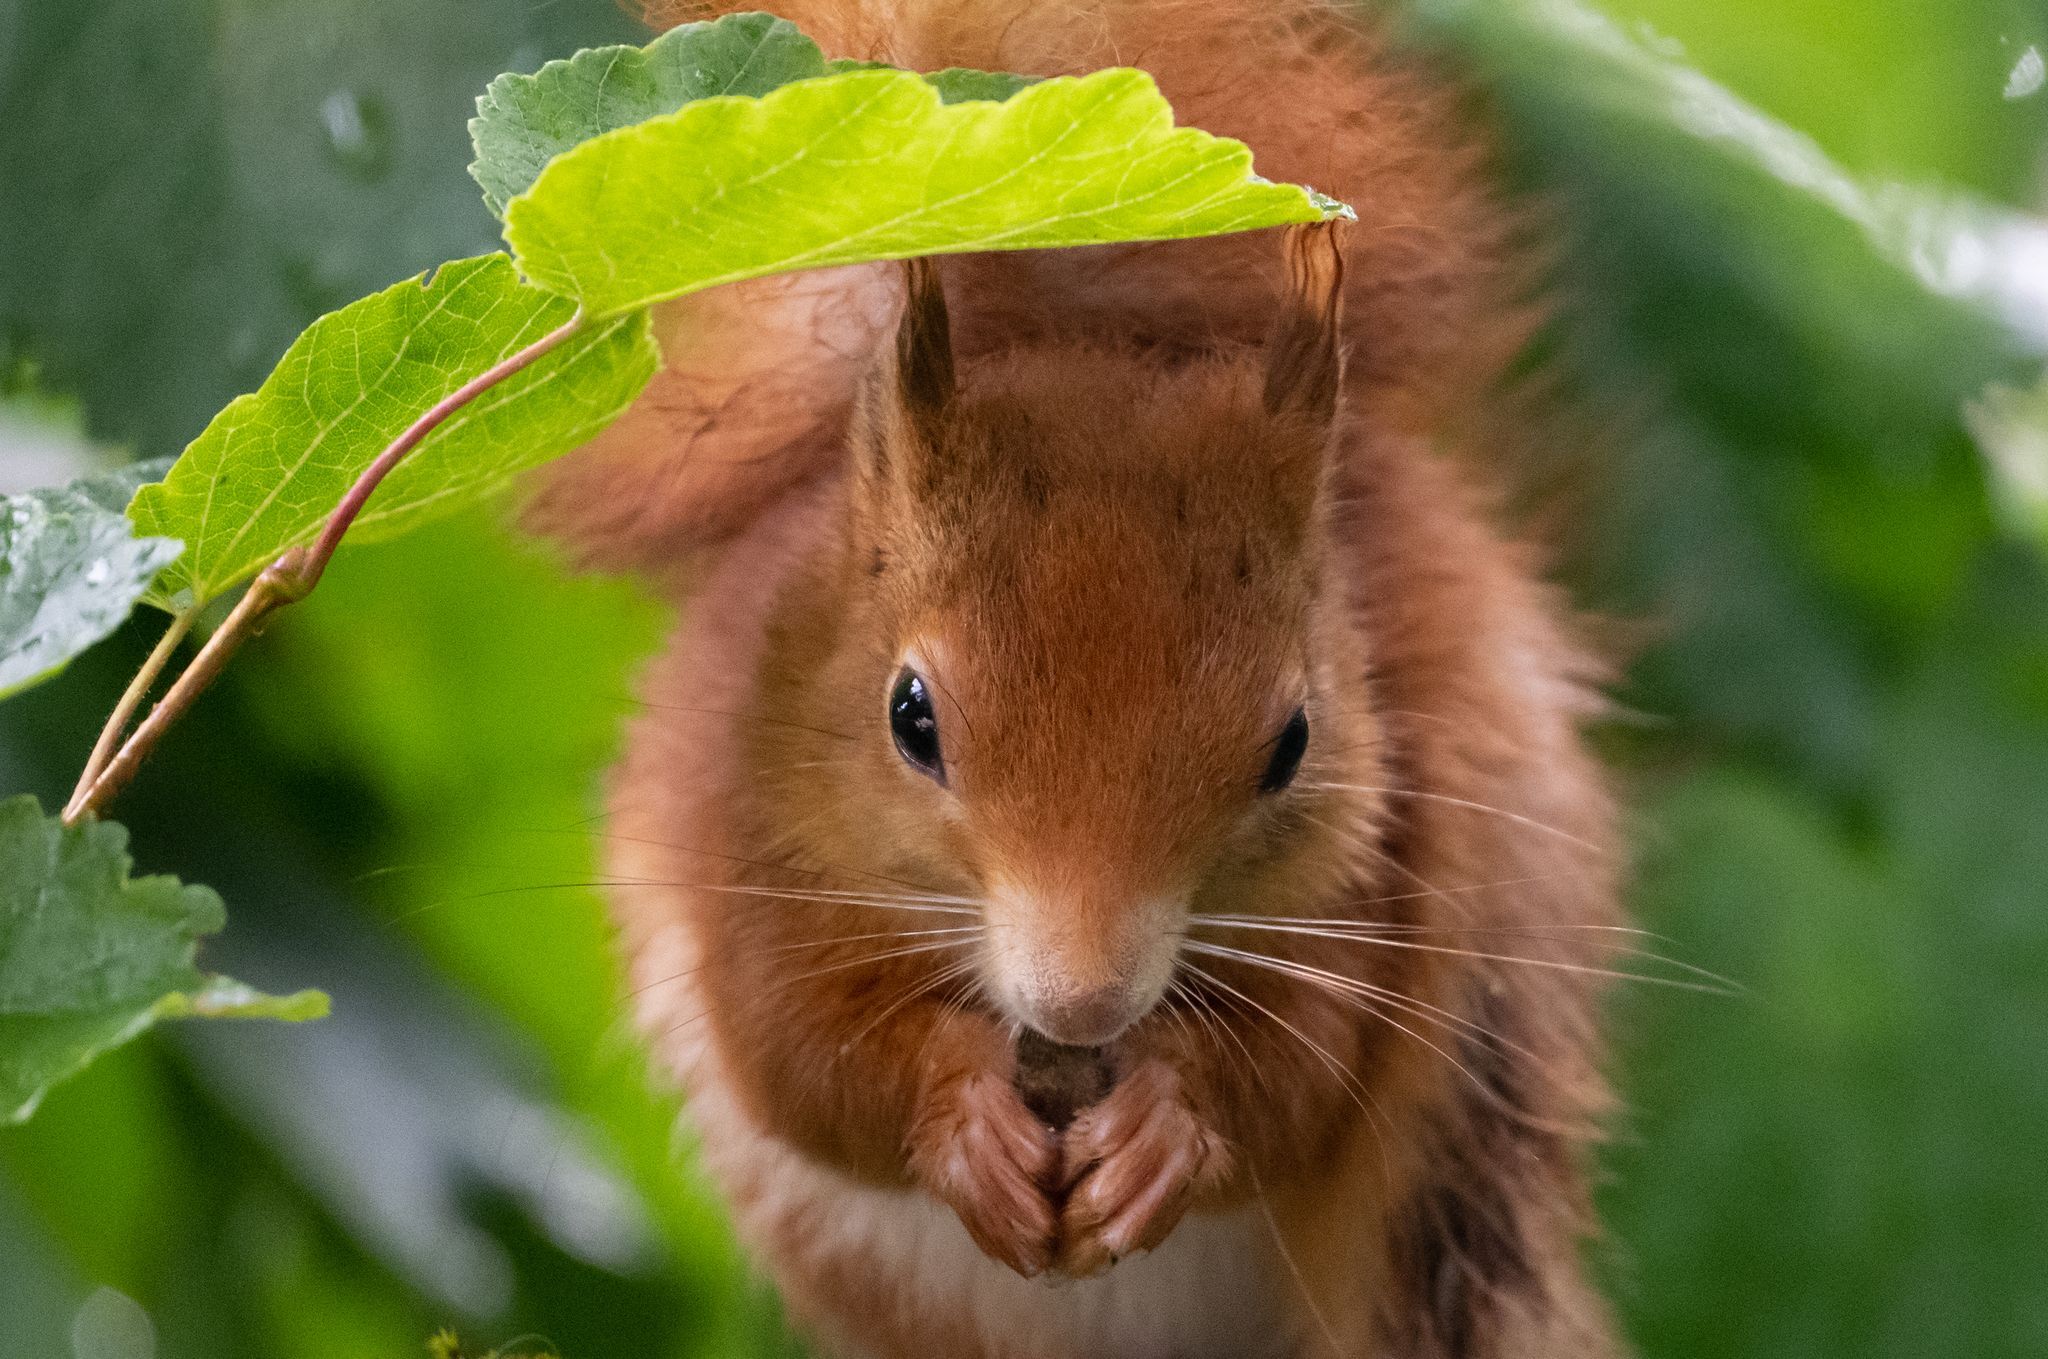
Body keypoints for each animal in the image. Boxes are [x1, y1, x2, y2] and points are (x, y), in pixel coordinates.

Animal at [533, 2, 1626, 1356]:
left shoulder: (1361, 885)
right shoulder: (736, 847)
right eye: (908, 719)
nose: (1083, 1004)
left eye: (1293, 743)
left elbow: (1301, 1074)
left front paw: (1165, 1127)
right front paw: (963, 1125)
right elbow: (797, 1060)